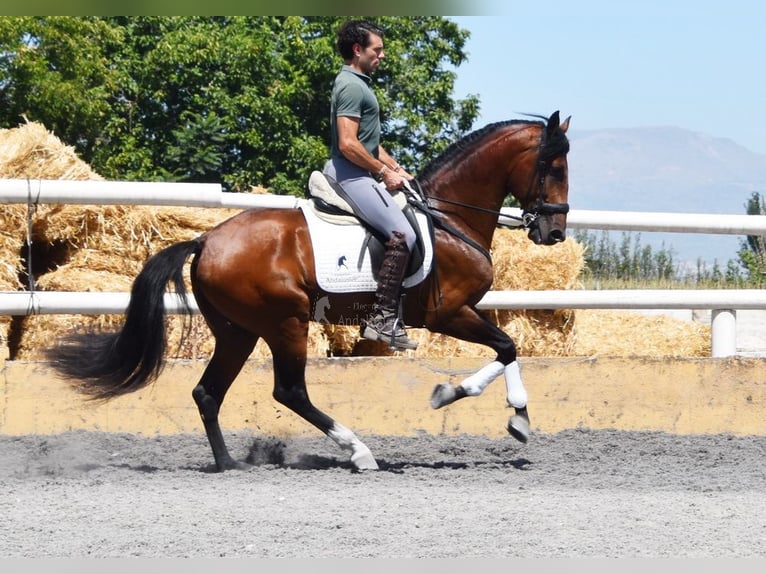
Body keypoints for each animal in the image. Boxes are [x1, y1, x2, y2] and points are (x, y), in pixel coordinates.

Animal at [46, 111, 568, 472]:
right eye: (553, 165)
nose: (554, 232)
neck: (448, 219)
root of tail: (206, 239)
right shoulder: (449, 312)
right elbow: (507, 345)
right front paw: (476, 402)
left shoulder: (464, 311)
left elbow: (507, 348)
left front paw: (507, 413)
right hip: (286, 322)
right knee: (290, 391)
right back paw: (359, 452)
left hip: (238, 331)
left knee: (208, 392)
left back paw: (228, 463)